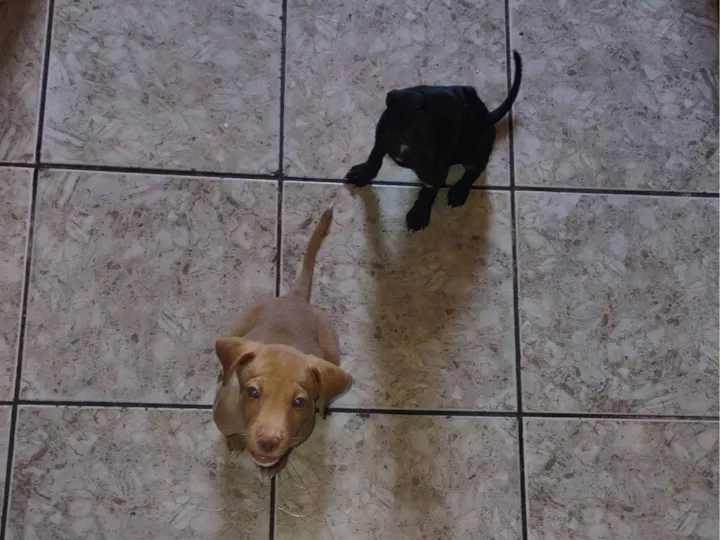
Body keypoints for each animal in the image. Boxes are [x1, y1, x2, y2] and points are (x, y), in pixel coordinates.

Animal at [213, 204, 351, 476]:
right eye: (252, 392)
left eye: (299, 402)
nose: (268, 442)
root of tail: (296, 297)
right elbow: (230, 432)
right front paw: (234, 441)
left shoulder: (301, 432)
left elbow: (288, 449)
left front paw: (279, 462)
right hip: (242, 321)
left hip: (332, 351)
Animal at [345, 51, 522, 231]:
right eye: (428, 146)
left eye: (451, 145)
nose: (436, 180)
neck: (404, 143)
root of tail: (489, 117)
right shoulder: (382, 135)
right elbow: (374, 157)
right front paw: (363, 174)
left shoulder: (439, 170)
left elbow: (428, 193)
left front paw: (419, 214)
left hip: (476, 151)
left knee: (475, 170)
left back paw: (459, 191)